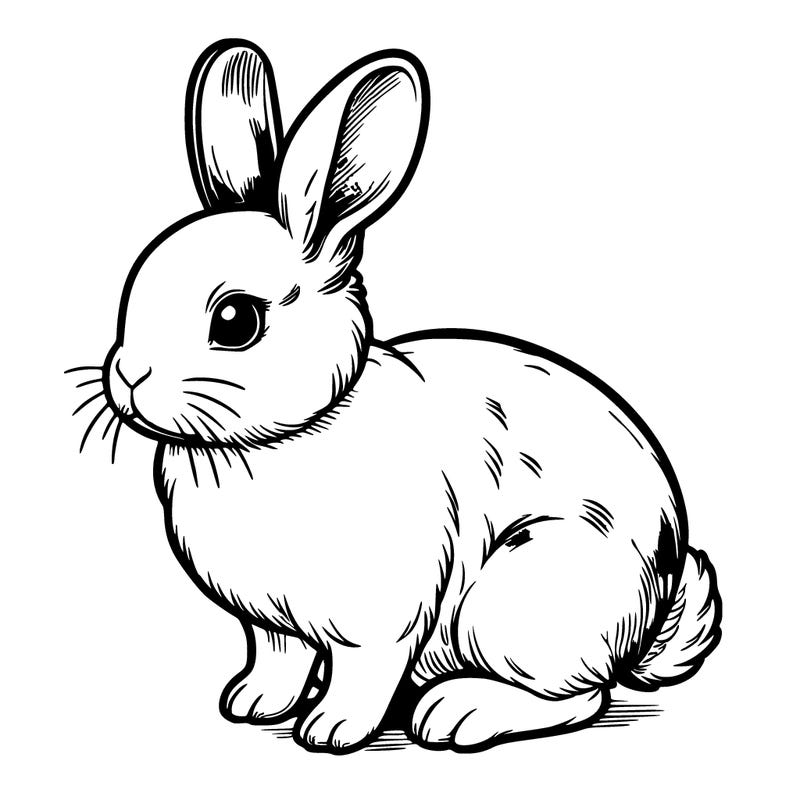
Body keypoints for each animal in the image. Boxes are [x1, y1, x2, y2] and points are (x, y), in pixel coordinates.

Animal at [85, 39, 721, 753]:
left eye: (235, 321)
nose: (128, 377)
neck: (284, 437)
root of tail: (653, 608)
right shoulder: (271, 625)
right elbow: (278, 658)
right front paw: (251, 703)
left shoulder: (380, 619)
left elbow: (363, 675)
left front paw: (330, 730)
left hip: (519, 598)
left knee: (581, 697)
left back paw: (458, 713)